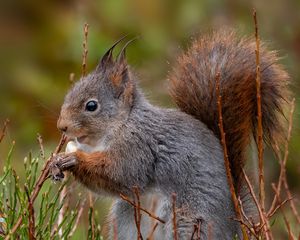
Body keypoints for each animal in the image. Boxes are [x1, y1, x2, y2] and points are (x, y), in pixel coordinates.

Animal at [49, 29, 288, 239]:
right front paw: (55, 162)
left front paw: (74, 159)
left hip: (188, 221)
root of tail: (233, 225)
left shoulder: (138, 146)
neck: (121, 125)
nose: (62, 126)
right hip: (126, 218)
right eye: (70, 92)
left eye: (92, 106)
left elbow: (120, 173)